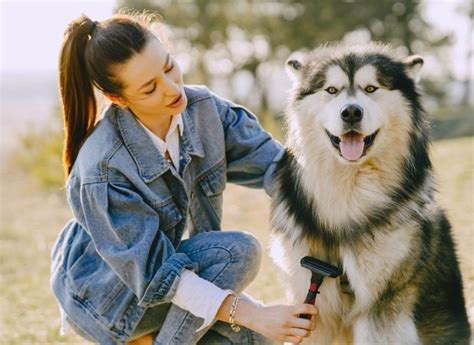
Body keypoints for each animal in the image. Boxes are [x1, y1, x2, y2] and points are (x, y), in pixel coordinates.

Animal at [270, 43, 470, 344]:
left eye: (371, 88)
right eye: (331, 90)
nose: (351, 112)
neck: (350, 190)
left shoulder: (383, 305)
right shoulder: (312, 303)